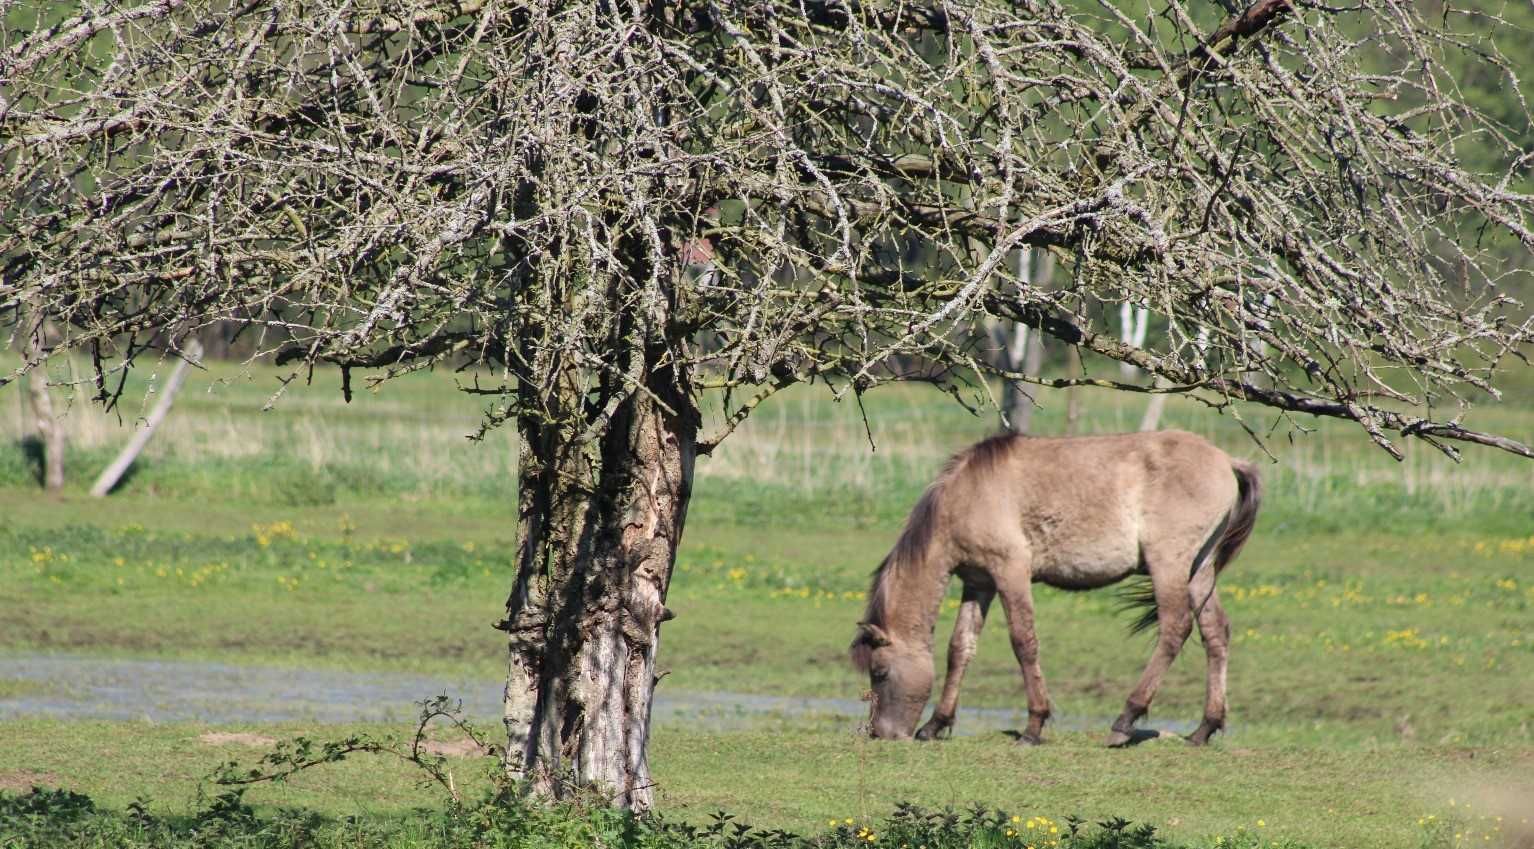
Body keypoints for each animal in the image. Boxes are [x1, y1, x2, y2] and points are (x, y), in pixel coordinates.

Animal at [852, 429, 1257, 743]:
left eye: (880, 673)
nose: (881, 733)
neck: (966, 495)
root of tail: (1227, 461)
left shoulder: (1011, 572)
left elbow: (1024, 642)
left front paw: (1034, 726)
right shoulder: (979, 583)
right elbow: (960, 649)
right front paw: (936, 724)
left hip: (1168, 564)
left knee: (1175, 629)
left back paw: (1125, 719)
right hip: (1200, 569)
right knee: (1215, 633)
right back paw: (1204, 729)